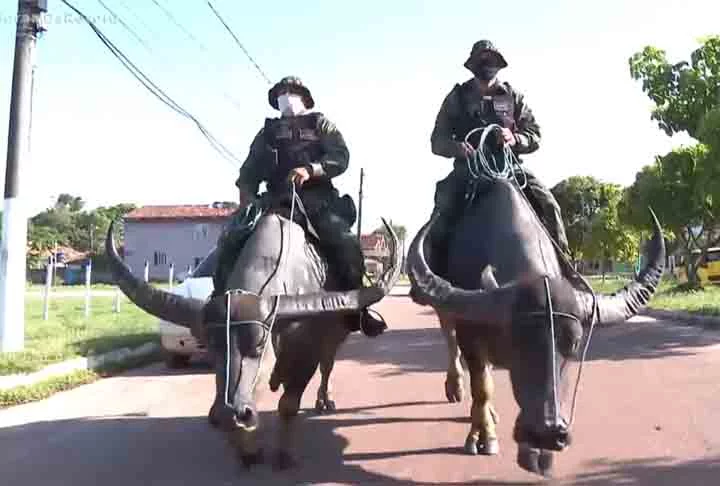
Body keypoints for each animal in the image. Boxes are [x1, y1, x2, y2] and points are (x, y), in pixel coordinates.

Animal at [107, 195, 402, 470]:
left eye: (259, 345)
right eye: (212, 346)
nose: (230, 413)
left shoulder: (306, 355)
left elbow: (288, 404)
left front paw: (284, 456)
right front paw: (248, 451)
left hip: (336, 336)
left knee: (327, 365)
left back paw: (324, 400)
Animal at [404, 170, 664, 474]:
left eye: (574, 343)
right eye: (517, 342)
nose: (547, 432)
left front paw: (536, 451)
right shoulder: (470, 331)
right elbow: (481, 387)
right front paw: (483, 436)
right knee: (449, 338)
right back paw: (456, 388)